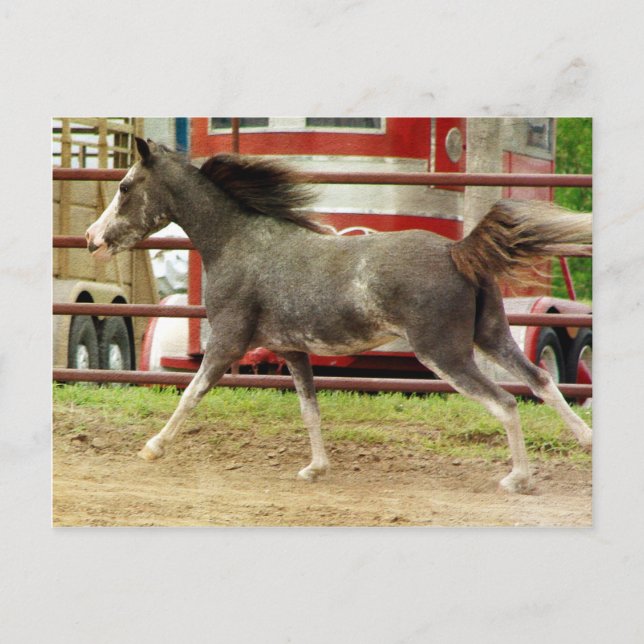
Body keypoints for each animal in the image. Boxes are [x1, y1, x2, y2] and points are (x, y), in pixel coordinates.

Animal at [85, 138, 592, 494]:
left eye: (124, 187)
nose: (91, 239)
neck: (237, 244)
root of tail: (456, 251)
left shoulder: (226, 343)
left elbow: (190, 394)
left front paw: (152, 448)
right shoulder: (293, 351)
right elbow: (310, 410)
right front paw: (315, 469)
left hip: (445, 354)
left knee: (506, 402)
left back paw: (518, 479)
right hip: (491, 336)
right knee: (541, 381)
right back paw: (585, 441)